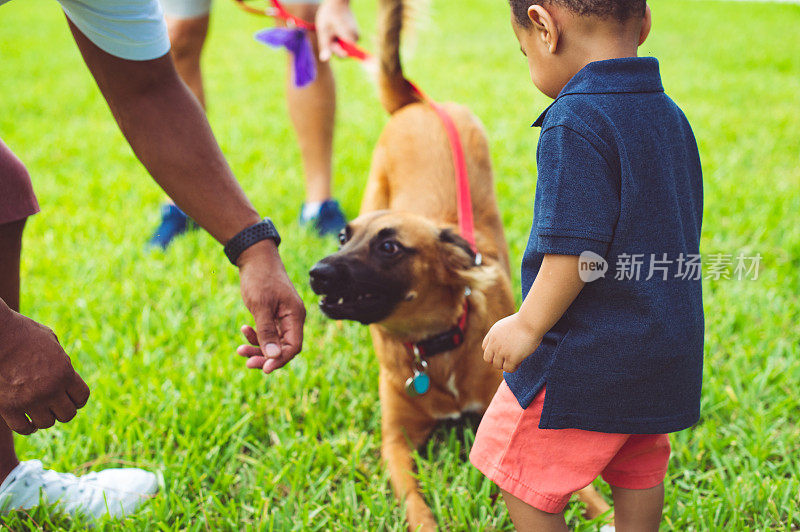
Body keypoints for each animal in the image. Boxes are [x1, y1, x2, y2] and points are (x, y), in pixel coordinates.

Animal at [310, 0, 608, 528]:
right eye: (345, 237)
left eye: (390, 247)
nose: (316, 274)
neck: (434, 344)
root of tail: (419, 105)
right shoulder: (396, 443)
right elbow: (414, 501)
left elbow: (574, 483)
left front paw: (604, 510)